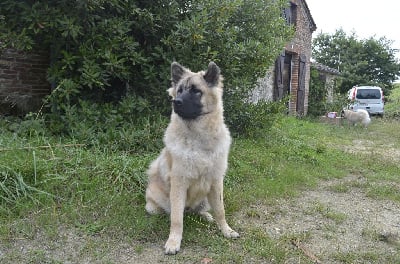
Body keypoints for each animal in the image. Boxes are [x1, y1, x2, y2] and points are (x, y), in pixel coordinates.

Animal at [145, 61, 239, 254]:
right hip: (156, 204)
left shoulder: (216, 182)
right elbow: (176, 219)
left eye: (196, 91)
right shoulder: (179, 183)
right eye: (179, 90)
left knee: (200, 210)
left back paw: (206, 216)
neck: (199, 138)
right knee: (170, 212)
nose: (176, 102)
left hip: (205, 199)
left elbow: (221, 211)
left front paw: (226, 230)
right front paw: (173, 242)